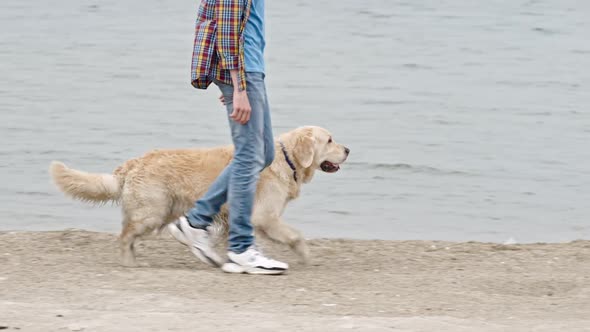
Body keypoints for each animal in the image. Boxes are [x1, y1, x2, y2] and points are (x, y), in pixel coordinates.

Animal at [51, 126, 350, 268]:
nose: (348, 149)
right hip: (152, 212)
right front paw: (305, 255)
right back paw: (129, 262)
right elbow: (296, 236)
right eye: (329, 140)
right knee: (125, 237)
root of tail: (132, 163)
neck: (286, 158)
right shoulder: (265, 216)